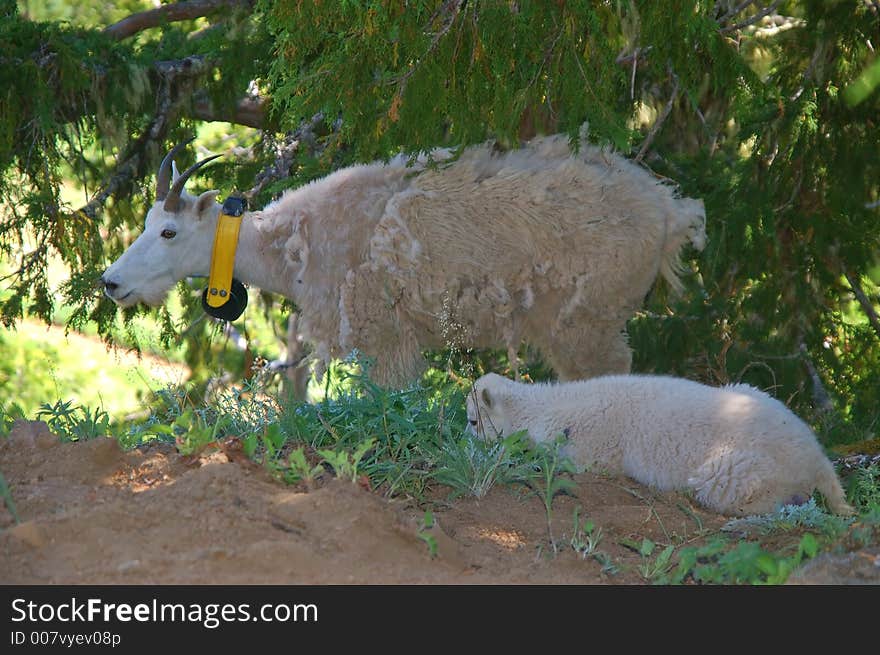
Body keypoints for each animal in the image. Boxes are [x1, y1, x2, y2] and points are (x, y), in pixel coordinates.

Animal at [105, 136, 708, 386]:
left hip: (586, 319)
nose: (110, 283)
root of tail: (669, 210)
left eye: (168, 230)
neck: (291, 243)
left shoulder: (384, 332)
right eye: (144, 224)